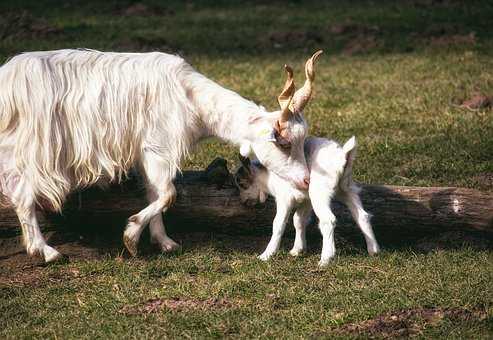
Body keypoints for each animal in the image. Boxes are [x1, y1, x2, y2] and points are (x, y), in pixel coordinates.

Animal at [0, 47, 320, 262]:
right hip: (30, 151)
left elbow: (156, 193)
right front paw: (131, 237)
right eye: (282, 142)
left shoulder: (148, 154)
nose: (307, 181)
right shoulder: (157, 146)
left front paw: (164, 242)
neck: (190, 96)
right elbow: (168, 194)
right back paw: (46, 251)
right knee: (22, 196)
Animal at [234, 135, 380, 266]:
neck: (268, 177)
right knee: (362, 216)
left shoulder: (284, 199)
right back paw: (374, 250)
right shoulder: (306, 201)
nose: (242, 200)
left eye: (241, 183)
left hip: (319, 193)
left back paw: (325, 259)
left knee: (328, 220)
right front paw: (297, 250)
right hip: (346, 189)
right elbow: (298, 220)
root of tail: (343, 156)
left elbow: (278, 224)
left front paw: (266, 255)